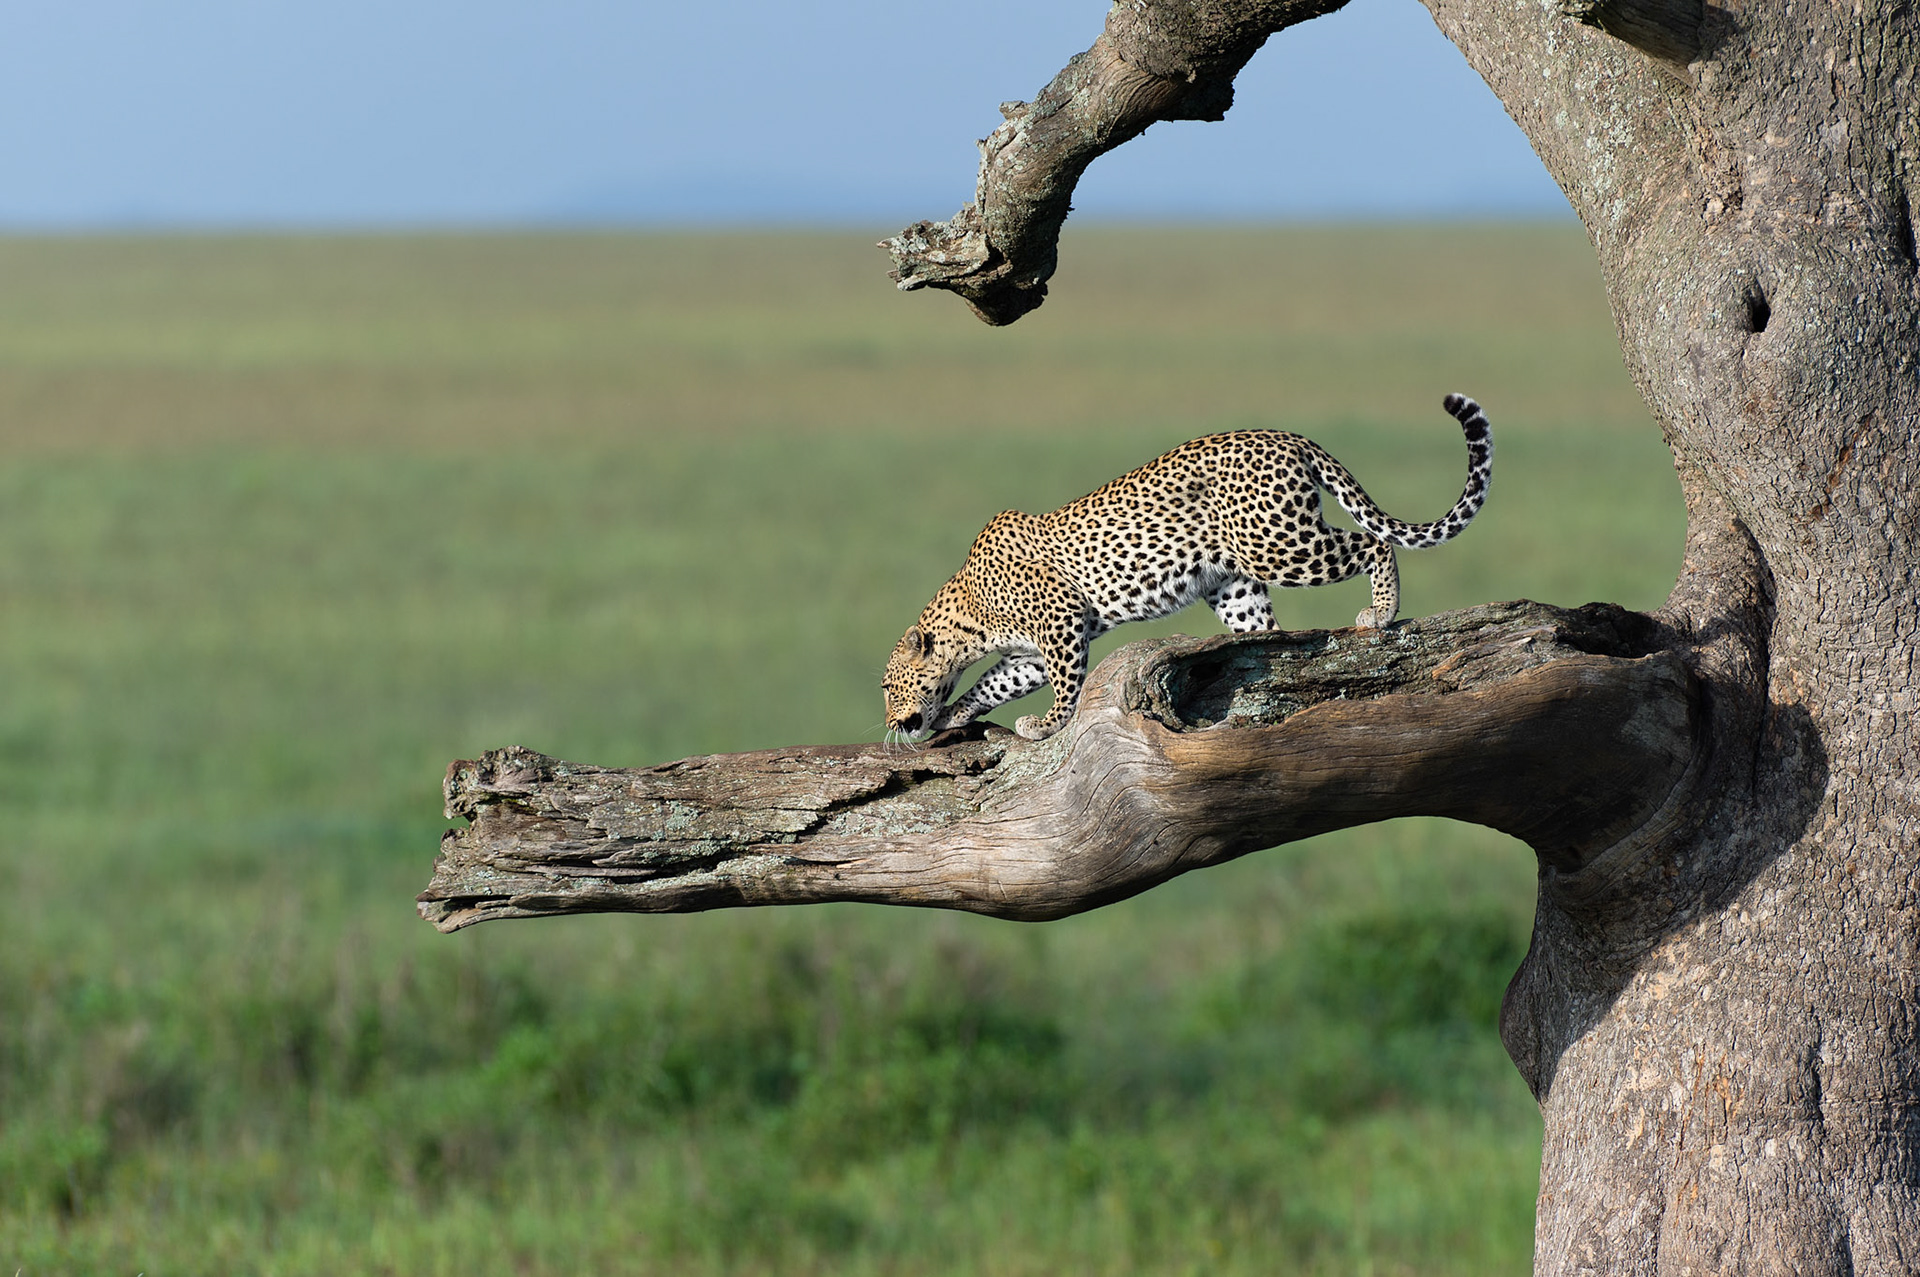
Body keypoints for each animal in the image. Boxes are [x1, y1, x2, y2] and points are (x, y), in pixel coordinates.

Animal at [882, 393, 1493, 743]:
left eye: (889, 687)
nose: (892, 723)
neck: (969, 619)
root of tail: (1286, 434)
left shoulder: (1062, 626)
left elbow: (1065, 686)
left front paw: (1047, 724)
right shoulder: (1029, 652)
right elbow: (991, 684)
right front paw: (954, 715)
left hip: (1281, 543)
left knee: (1374, 543)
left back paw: (1381, 613)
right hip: (1235, 584)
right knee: (1268, 634)